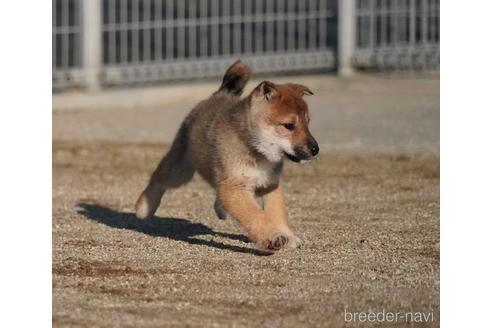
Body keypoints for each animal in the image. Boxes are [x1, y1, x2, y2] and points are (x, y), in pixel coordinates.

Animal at [135, 60, 320, 251]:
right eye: (289, 125)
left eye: (307, 124)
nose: (315, 149)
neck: (256, 150)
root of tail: (219, 93)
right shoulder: (234, 187)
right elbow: (256, 216)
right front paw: (272, 236)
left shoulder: (269, 184)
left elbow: (277, 213)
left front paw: (287, 235)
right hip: (181, 171)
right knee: (158, 176)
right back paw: (144, 207)